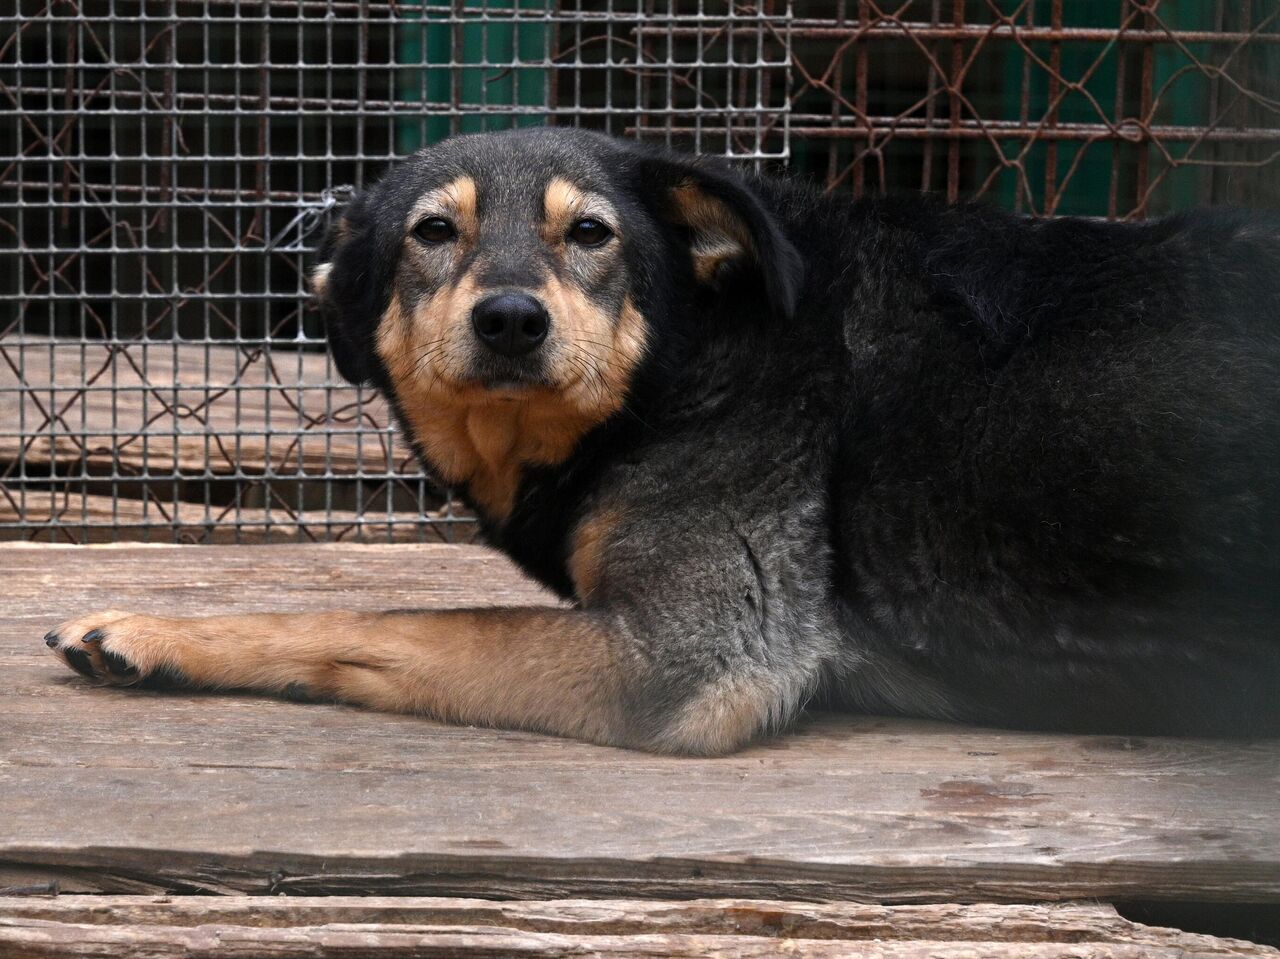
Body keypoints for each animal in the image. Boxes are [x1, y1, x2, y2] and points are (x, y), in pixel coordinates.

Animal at [45, 127, 1280, 752]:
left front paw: (155, 629)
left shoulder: (687, 656)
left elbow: (379, 618)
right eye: (432, 233)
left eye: (591, 234)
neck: (688, 362)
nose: (509, 319)